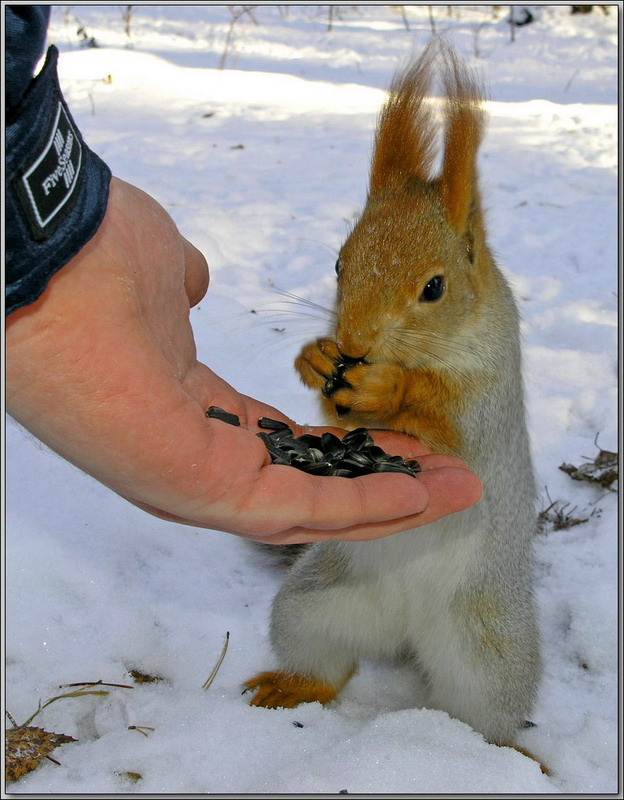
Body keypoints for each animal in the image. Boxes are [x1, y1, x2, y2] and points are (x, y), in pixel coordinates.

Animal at [245, 42, 543, 765]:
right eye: (338, 264)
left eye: (435, 287)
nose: (353, 340)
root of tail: (404, 635)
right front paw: (316, 359)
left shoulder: (489, 397)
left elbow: (450, 428)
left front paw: (388, 389)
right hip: (312, 604)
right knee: (326, 660)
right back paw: (291, 687)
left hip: (487, 650)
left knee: (483, 712)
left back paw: (499, 754)